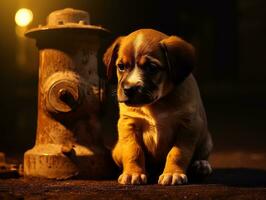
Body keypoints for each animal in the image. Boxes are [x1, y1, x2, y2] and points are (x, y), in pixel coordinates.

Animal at [103, 28, 213, 185]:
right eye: (121, 66)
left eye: (151, 68)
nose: (128, 89)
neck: (156, 105)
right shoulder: (128, 123)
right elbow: (133, 150)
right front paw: (133, 173)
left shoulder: (189, 125)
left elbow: (178, 153)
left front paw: (172, 173)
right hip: (117, 149)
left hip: (206, 140)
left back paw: (201, 165)